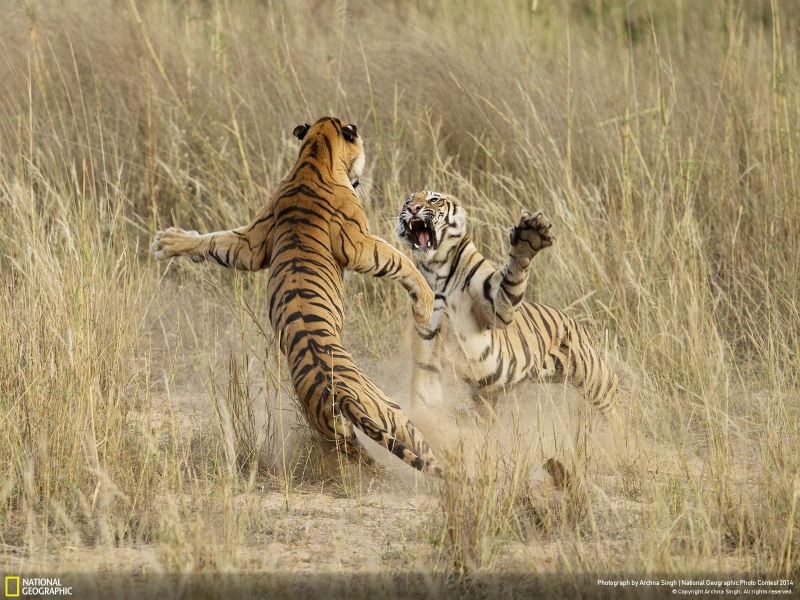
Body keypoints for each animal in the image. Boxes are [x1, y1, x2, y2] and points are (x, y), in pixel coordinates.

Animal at [151, 117, 444, 476]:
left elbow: (215, 242)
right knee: (422, 451)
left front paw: (169, 242)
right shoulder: (359, 244)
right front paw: (425, 303)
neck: (314, 154)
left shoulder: (252, 243)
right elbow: (400, 261)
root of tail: (339, 395)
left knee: (368, 458)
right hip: (390, 411)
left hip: (342, 432)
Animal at [396, 190, 619, 417]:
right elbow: (424, 386)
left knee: (614, 396)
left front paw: (528, 237)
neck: (437, 268)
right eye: (408, 202)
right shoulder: (428, 338)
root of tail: (580, 326)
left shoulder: (496, 308)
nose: (413, 208)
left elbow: (513, 275)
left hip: (595, 377)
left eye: (434, 200)